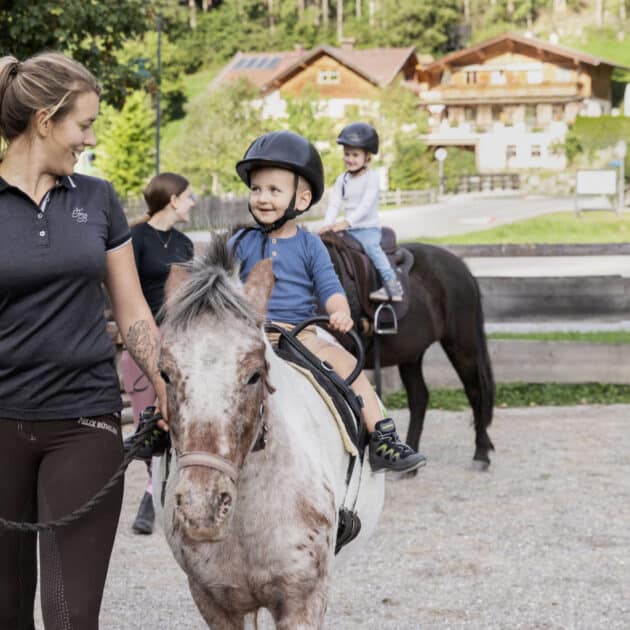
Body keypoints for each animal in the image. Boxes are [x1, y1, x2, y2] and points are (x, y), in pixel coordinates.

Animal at [324, 232, 496, 470]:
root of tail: (461, 267)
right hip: (411, 354)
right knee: (419, 398)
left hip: (462, 345)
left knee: (476, 391)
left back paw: (481, 454)